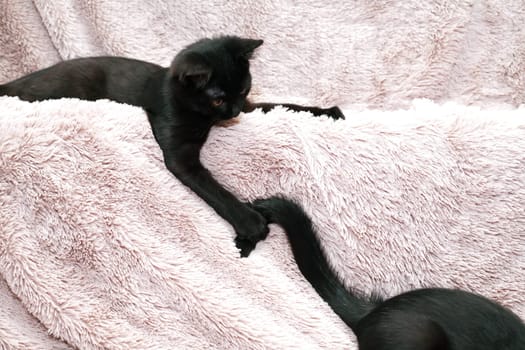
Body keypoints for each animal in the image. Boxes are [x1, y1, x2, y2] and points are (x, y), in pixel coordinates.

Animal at [0, 35, 344, 256]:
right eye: (218, 98)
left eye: (243, 89)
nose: (233, 111)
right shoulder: (180, 155)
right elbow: (214, 189)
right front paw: (250, 223)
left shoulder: (250, 108)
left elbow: (283, 106)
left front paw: (327, 112)